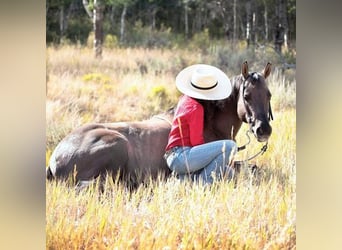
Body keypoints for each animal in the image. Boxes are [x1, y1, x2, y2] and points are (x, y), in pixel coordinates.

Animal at [46, 62, 274, 188]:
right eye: (247, 96)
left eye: (269, 95)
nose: (263, 129)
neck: (210, 122)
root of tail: (56, 157)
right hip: (116, 145)